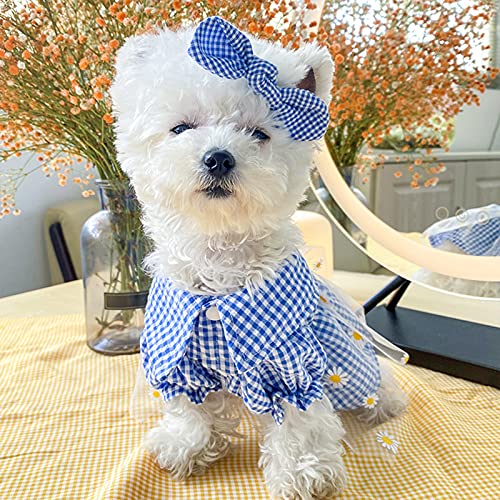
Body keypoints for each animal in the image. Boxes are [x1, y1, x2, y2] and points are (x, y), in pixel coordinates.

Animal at [110, 16, 406, 500]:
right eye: (181, 128)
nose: (218, 158)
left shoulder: (291, 364)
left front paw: (304, 475)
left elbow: (300, 423)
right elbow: (189, 408)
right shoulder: (178, 354)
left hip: (358, 365)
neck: (222, 260)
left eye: (259, 134)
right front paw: (187, 445)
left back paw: (386, 403)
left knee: (376, 380)